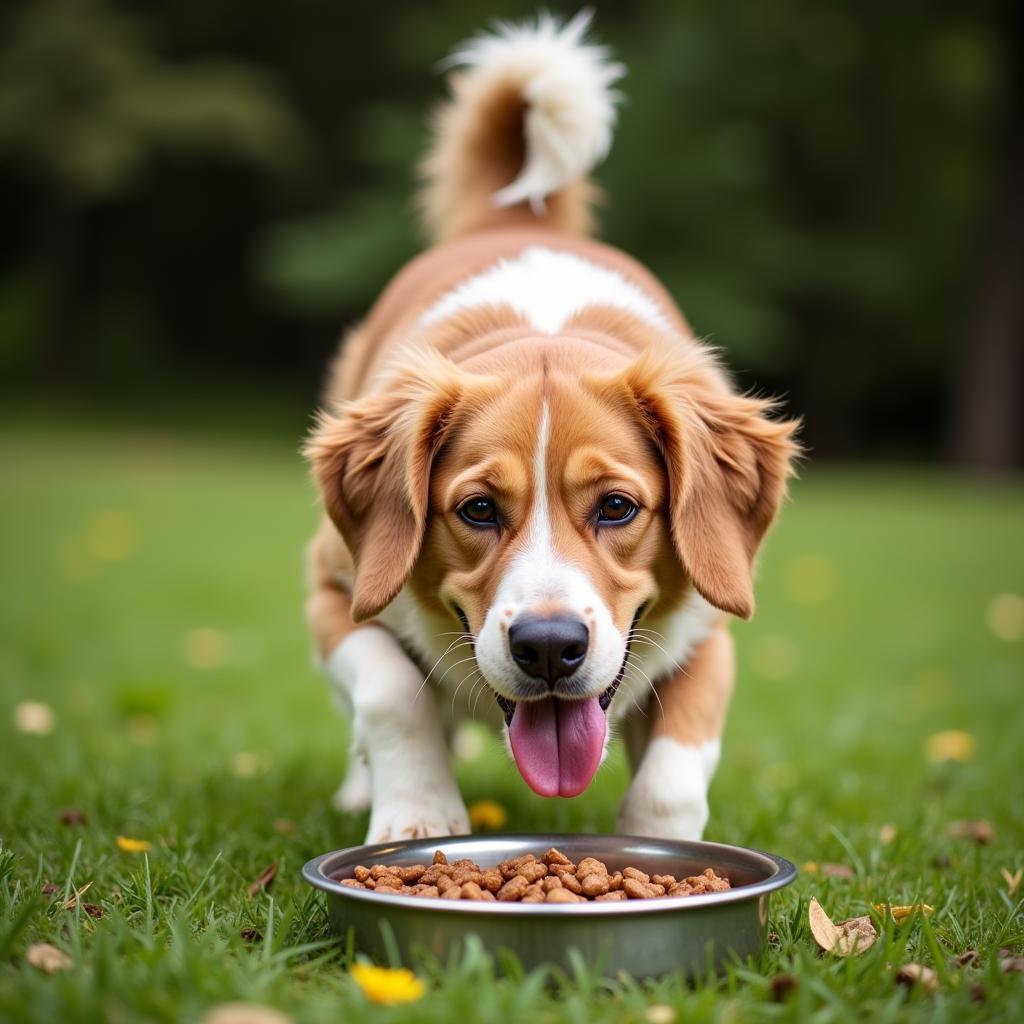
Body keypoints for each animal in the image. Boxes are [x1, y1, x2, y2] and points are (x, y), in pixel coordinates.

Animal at [299, 12, 794, 839]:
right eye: (477, 509)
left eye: (618, 507)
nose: (551, 647)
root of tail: (509, 216)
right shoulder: (333, 588)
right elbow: (390, 694)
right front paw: (418, 817)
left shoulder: (709, 629)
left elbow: (673, 774)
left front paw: (662, 849)